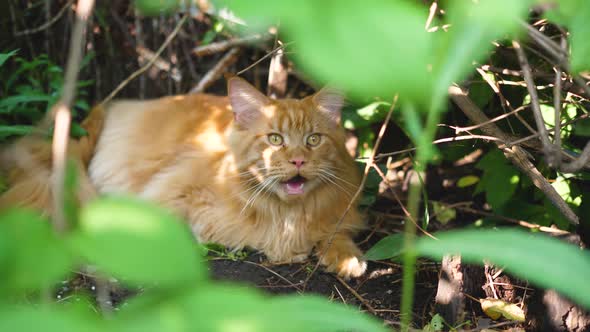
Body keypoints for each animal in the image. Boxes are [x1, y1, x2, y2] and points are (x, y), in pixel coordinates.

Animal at [0, 77, 368, 278]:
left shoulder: (339, 213)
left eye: (313, 140)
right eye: (275, 139)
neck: (286, 214)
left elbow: (336, 233)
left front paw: (347, 258)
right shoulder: (168, 190)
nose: (298, 160)